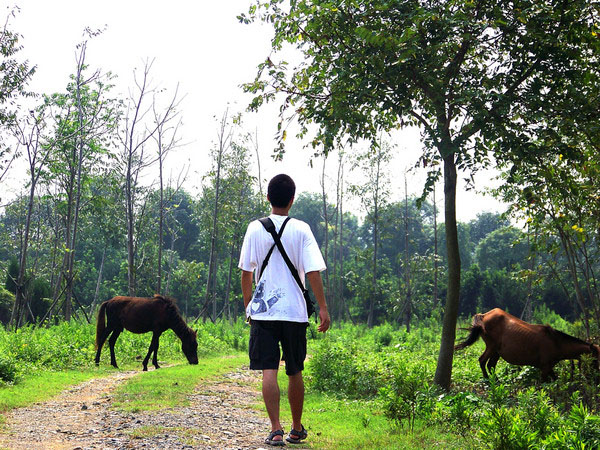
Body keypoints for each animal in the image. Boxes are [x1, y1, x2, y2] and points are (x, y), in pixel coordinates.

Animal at [454, 306, 600, 380]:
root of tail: (483, 316)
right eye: (595, 358)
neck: (556, 342)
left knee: (491, 365)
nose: (597, 375)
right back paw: (488, 381)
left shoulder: (549, 367)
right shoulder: (545, 367)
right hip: (491, 347)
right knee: (482, 361)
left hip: (497, 351)